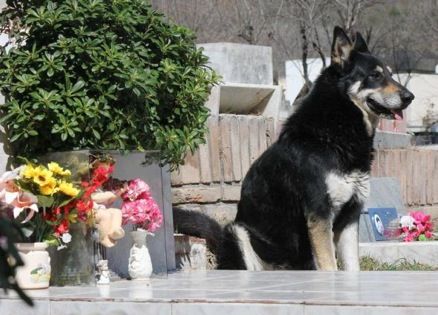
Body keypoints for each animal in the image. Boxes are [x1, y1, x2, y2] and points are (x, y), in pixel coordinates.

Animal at [173, 27, 412, 272]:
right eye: (375, 76)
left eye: (390, 74)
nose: (409, 97)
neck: (335, 131)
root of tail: (220, 240)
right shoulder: (320, 214)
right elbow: (330, 266)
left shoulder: (350, 217)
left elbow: (352, 268)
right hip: (238, 232)